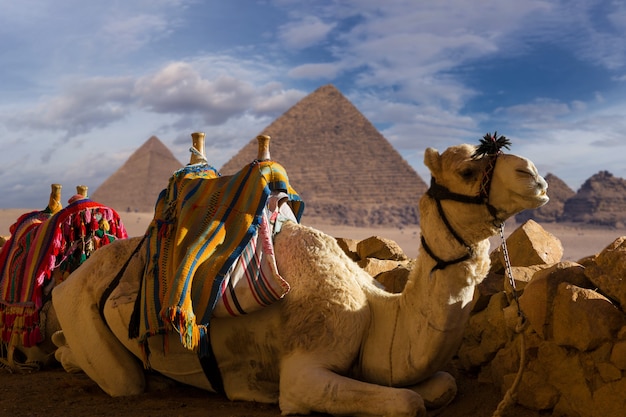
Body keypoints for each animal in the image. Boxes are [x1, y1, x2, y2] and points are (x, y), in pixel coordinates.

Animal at [50, 134, 544, 416]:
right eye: (468, 169)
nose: (535, 175)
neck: (377, 312)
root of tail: (70, 275)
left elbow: (441, 385)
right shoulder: (305, 370)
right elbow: (409, 402)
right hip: (76, 306)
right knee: (121, 378)